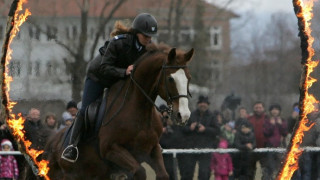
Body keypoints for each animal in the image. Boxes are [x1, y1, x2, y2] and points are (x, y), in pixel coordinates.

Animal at [42, 44, 194, 179]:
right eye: (170, 78)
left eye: (189, 78)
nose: (184, 115)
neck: (140, 111)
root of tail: (51, 141)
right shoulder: (112, 149)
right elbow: (140, 172)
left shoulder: (152, 149)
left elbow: (163, 174)